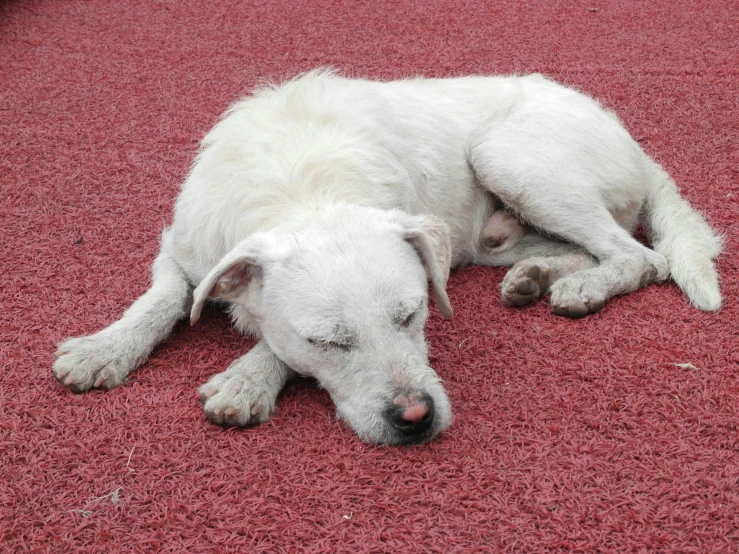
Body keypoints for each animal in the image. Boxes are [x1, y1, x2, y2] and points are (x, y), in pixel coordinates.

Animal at [52, 69, 724, 444]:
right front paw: (104, 348)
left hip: (509, 155)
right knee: (585, 247)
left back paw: (583, 288)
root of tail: (633, 142)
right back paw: (535, 277)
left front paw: (248, 378)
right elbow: (163, 298)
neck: (304, 185)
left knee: (641, 256)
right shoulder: (182, 247)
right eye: (329, 341)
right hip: (487, 232)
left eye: (411, 315)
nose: (415, 417)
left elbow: (270, 343)